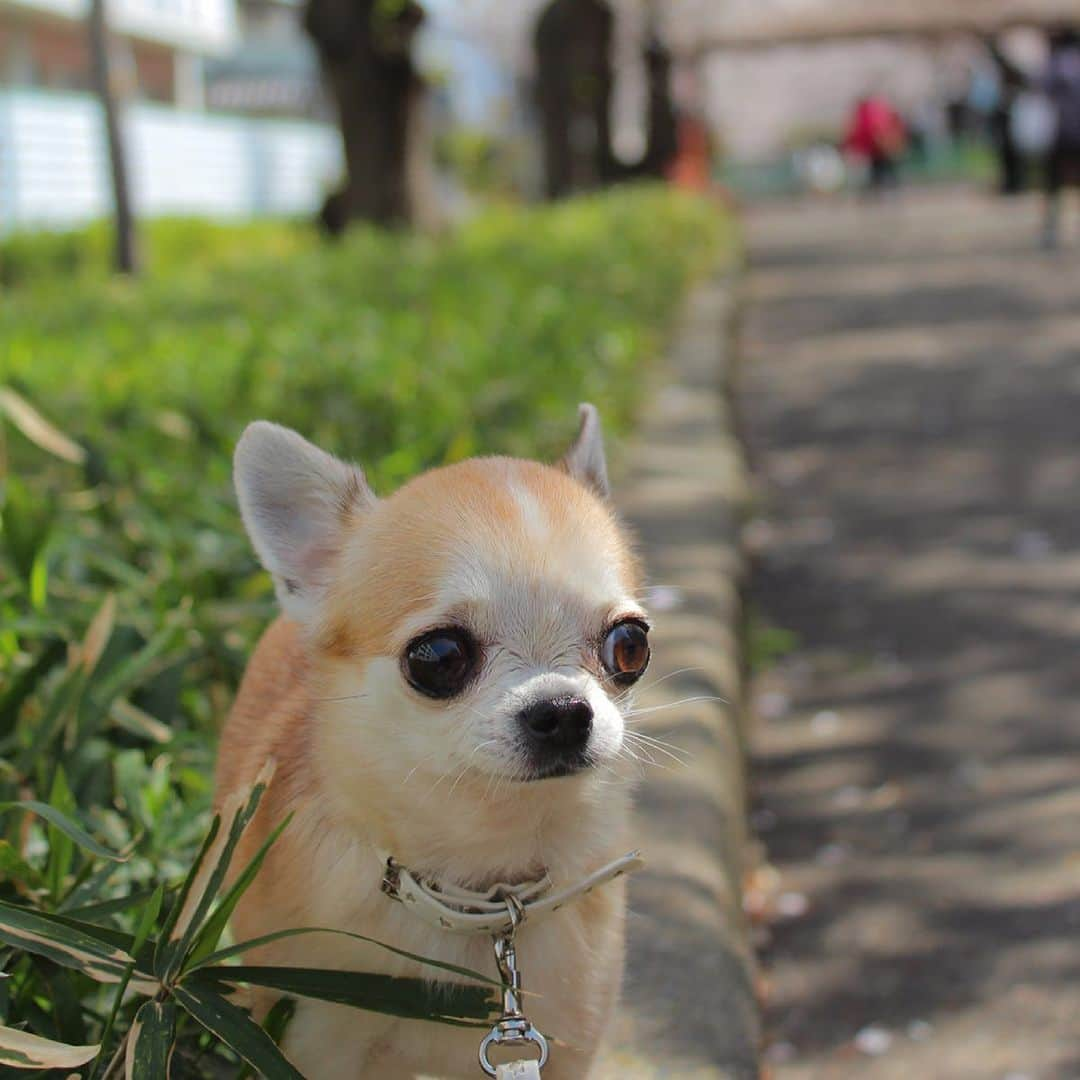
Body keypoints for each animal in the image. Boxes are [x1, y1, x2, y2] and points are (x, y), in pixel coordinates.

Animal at [214, 406, 643, 1080]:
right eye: (438, 657)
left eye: (630, 645)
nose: (563, 711)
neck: (481, 889)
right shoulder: (313, 1034)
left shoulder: (564, 1045)